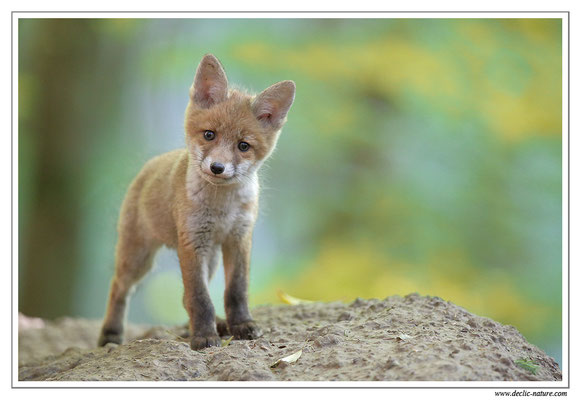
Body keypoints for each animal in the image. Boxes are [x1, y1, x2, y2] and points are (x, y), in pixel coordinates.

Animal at [98, 54, 294, 350]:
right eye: (209, 134)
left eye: (243, 146)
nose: (217, 168)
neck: (222, 208)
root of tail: (150, 164)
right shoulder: (192, 242)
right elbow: (200, 299)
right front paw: (203, 336)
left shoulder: (239, 238)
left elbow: (236, 291)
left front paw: (241, 324)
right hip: (138, 258)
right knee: (118, 287)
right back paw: (110, 333)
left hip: (210, 258)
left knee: (182, 298)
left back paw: (221, 324)